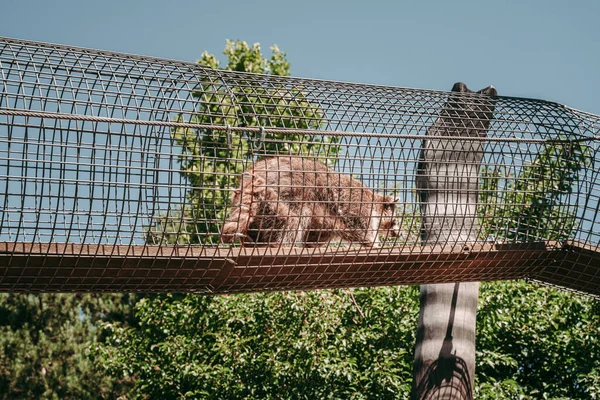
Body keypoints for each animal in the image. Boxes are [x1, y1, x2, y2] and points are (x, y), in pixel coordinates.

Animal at [219, 156, 398, 247]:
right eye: (395, 221)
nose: (399, 233)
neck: (375, 202)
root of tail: (252, 171)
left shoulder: (326, 223)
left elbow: (316, 235)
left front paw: (313, 244)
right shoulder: (358, 204)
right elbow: (359, 228)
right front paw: (373, 242)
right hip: (290, 189)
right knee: (290, 221)